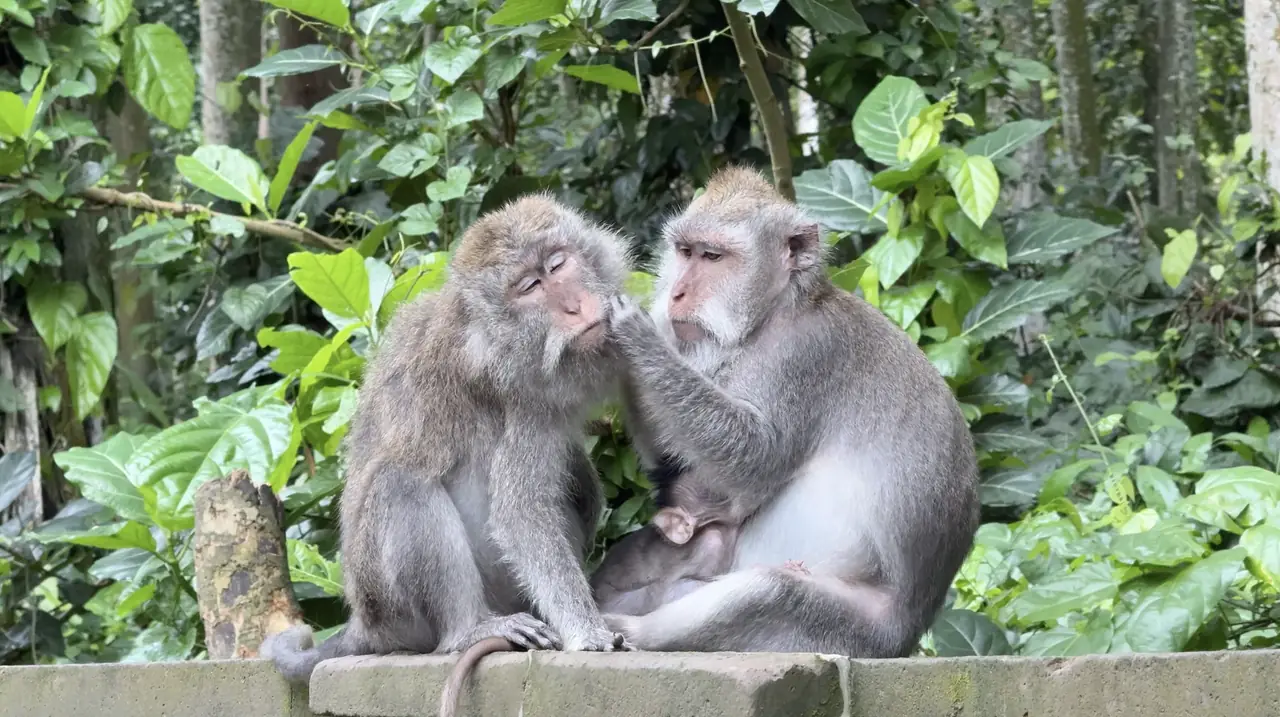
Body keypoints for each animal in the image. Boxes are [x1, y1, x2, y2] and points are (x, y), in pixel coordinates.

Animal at [261, 194, 634, 697]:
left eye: (558, 264)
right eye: (530, 286)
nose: (576, 306)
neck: (492, 336)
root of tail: (362, 622)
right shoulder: (523, 403)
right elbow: (521, 513)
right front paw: (588, 633)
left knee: (573, 483)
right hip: (391, 606)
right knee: (400, 484)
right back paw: (468, 630)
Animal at [589, 165, 981, 657]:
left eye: (713, 257)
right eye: (684, 251)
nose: (676, 293)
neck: (776, 313)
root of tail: (908, 633)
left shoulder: (805, 358)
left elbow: (757, 457)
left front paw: (641, 337)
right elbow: (682, 468)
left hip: (846, 632)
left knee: (771, 592)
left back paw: (631, 632)